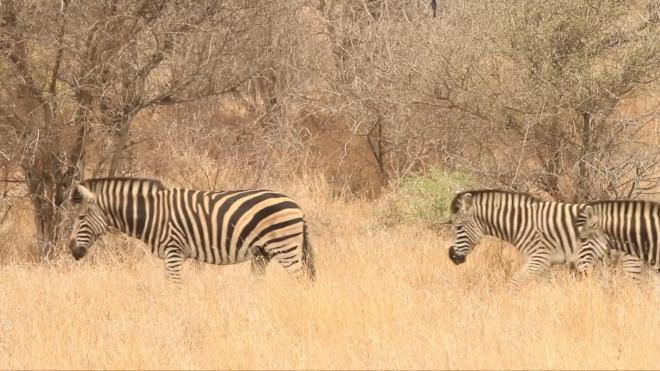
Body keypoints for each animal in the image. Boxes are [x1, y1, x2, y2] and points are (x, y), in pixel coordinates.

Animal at [68, 179, 316, 284]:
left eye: (80, 218)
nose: (71, 250)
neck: (151, 214)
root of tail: (297, 205)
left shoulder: (173, 251)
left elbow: (175, 286)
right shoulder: (169, 256)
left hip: (285, 247)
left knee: (301, 281)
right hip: (262, 253)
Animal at [448, 190, 644, 286]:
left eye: (458, 227)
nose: (453, 257)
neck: (522, 223)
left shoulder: (538, 258)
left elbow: (513, 283)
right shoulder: (546, 263)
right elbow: (547, 286)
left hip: (631, 261)